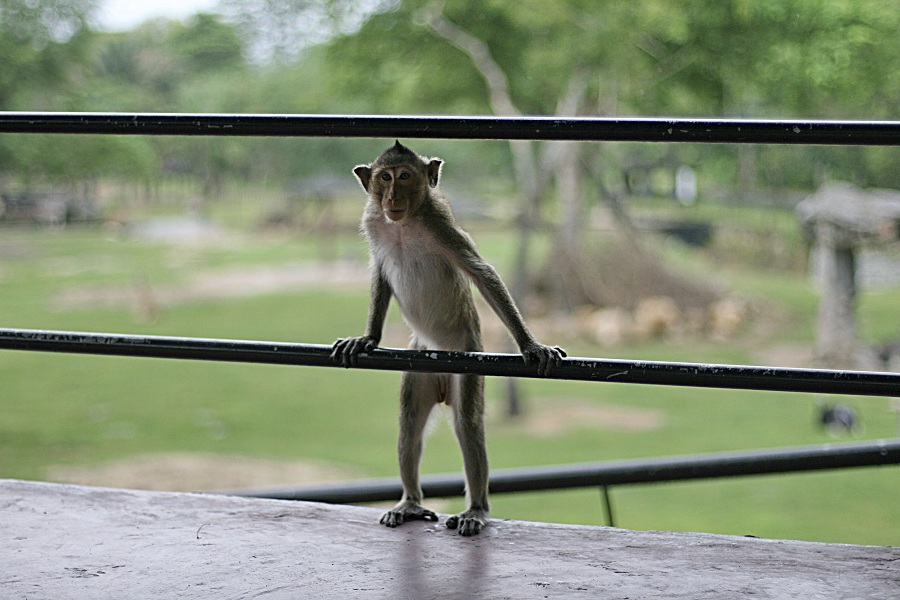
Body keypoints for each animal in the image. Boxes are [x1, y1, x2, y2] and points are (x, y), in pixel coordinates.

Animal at [334, 141, 568, 536]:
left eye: (405, 176)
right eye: (385, 177)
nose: (392, 197)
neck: (404, 223)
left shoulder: (440, 223)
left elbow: (483, 274)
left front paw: (530, 344)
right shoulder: (373, 223)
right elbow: (381, 272)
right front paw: (367, 338)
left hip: (468, 359)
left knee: (468, 425)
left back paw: (476, 509)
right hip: (420, 367)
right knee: (410, 423)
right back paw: (410, 502)